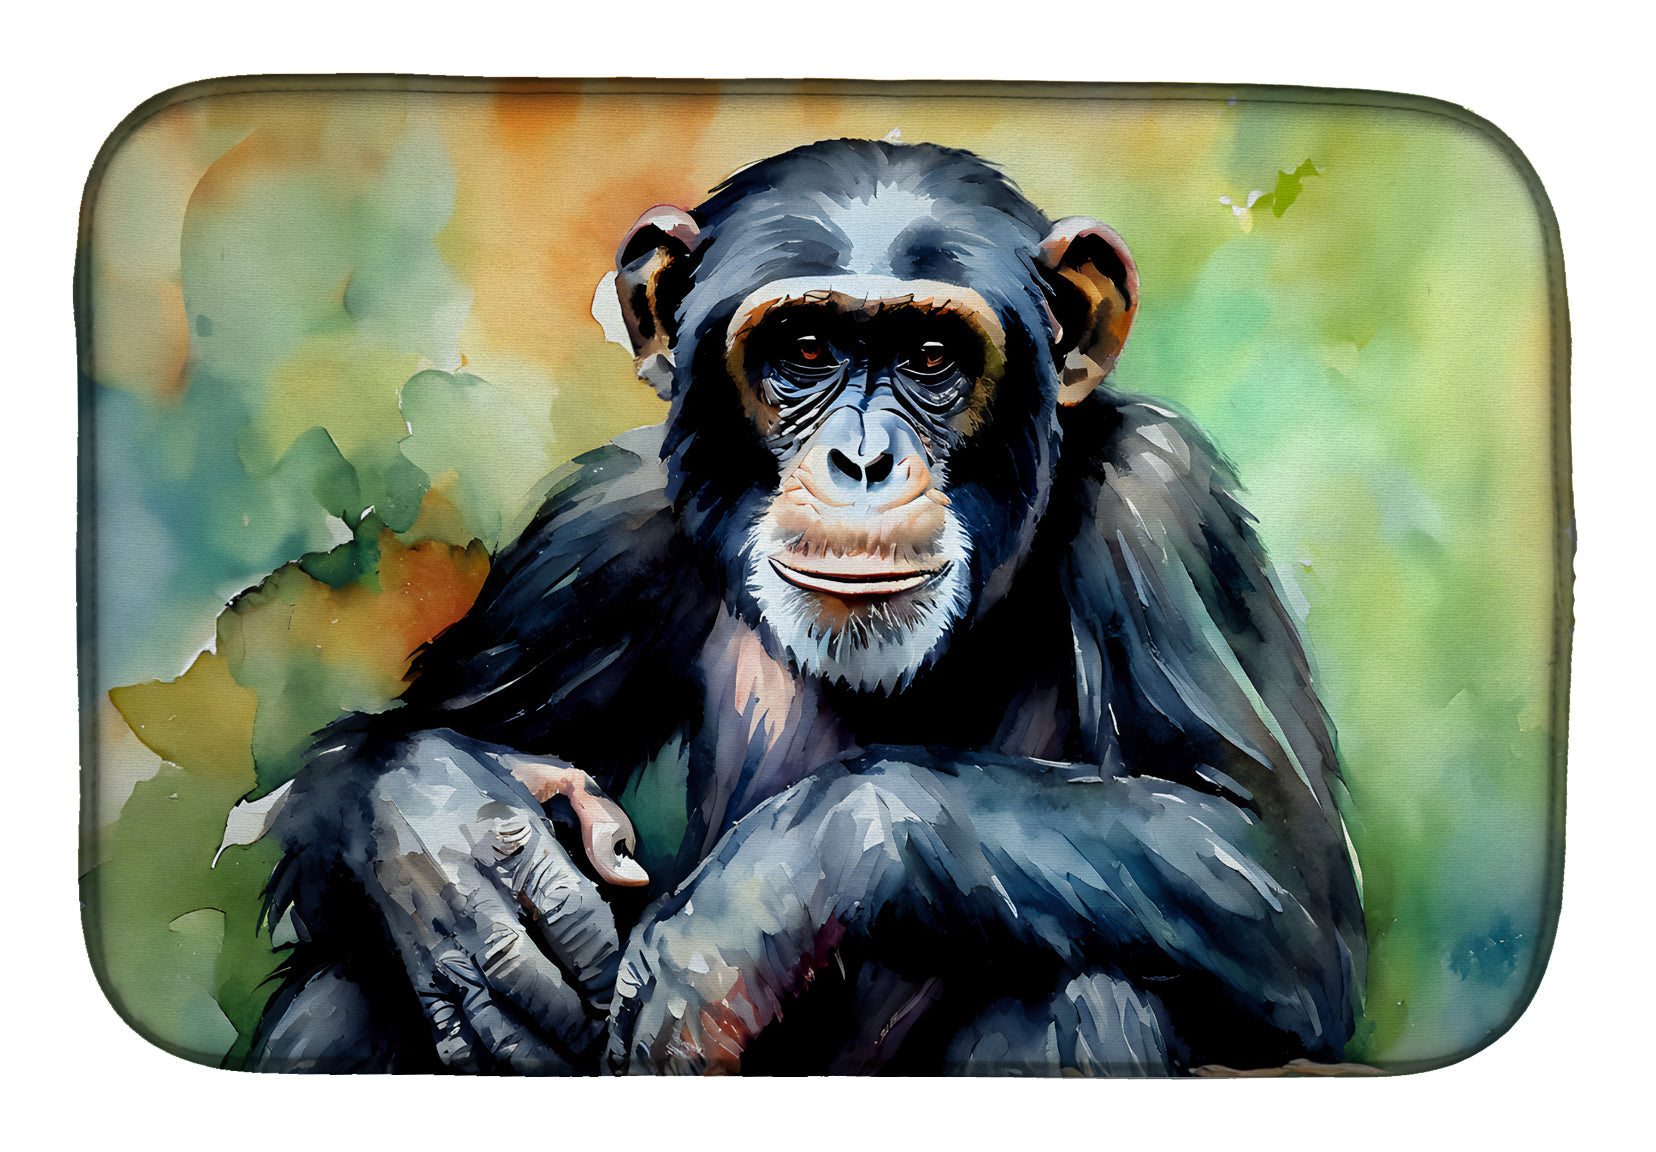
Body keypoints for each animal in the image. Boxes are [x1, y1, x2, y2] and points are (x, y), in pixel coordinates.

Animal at [248, 138, 1363, 1076]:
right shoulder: (597, 528)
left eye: (930, 359)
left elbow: (1274, 872)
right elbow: (402, 744)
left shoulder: (1162, 498)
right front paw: (452, 842)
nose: (861, 461)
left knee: (1092, 993)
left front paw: (761, 899)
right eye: (807, 348)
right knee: (351, 977)